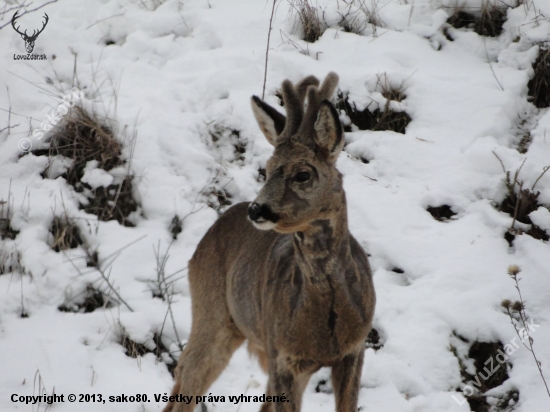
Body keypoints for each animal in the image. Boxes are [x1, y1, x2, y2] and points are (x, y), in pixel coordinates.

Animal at [164, 73, 378, 412]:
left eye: (302, 174)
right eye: (266, 169)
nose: (257, 209)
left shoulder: (354, 351)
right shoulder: (283, 357)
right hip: (212, 314)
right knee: (185, 377)